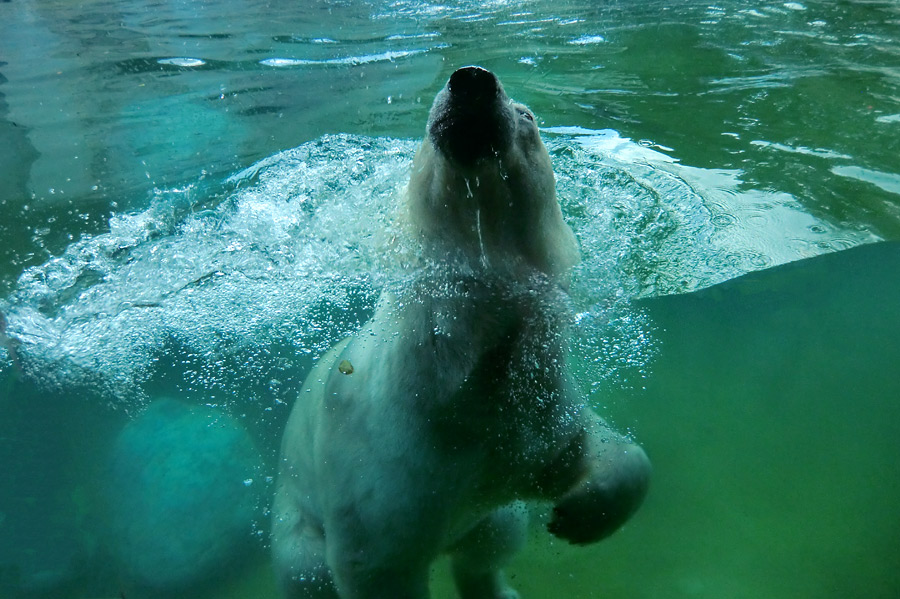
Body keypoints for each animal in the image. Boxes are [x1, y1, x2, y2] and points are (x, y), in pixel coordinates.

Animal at [270, 65, 652, 599]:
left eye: (527, 115)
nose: (471, 81)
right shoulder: (384, 466)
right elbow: (377, 564)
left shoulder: (527, 412)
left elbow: (594, 448)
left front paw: (578, 514)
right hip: (295, 525)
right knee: (307, 573)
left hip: (490, 516)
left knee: (492, 540)